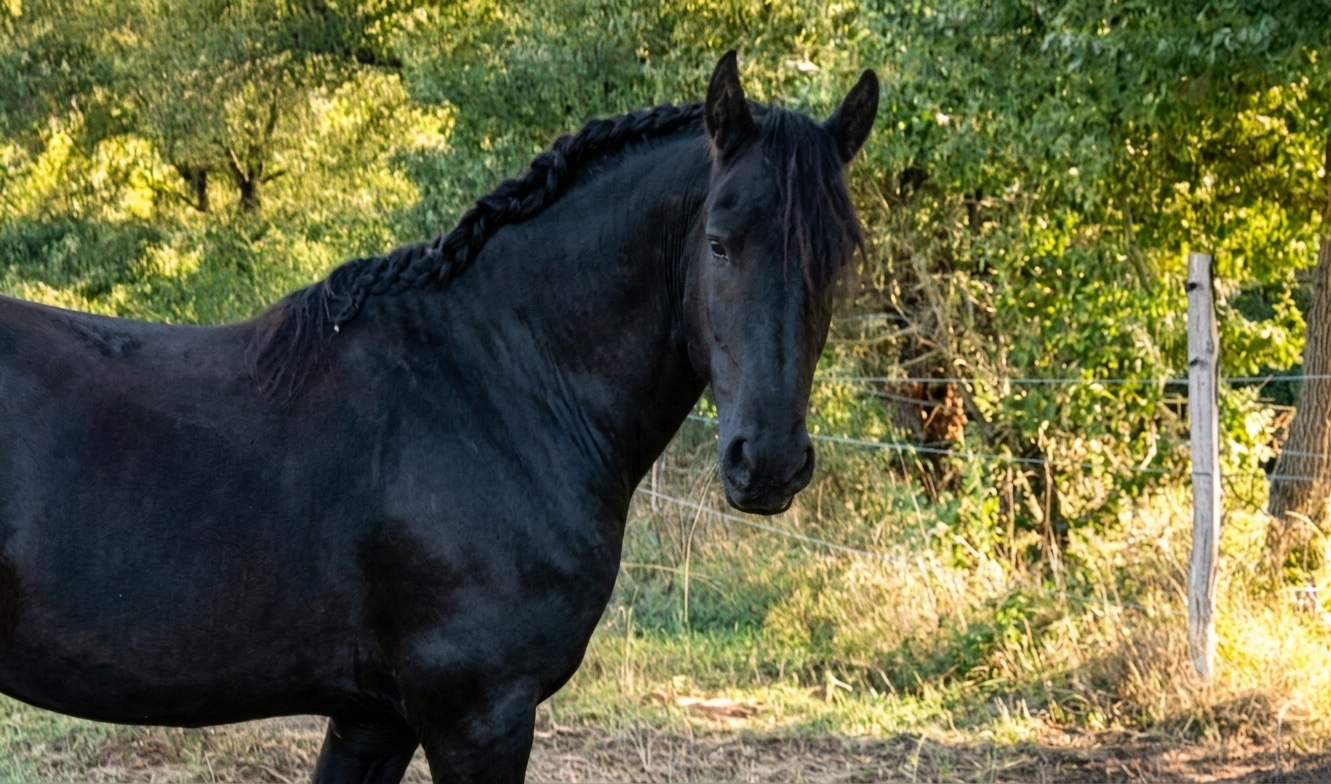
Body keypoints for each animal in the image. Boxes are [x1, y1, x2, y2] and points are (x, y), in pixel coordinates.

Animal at [0, 52, 878, 783]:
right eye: (720, 243)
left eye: (840, 254)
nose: (767, 464)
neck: (493, 385)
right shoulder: (477, 717)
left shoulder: (372, 720)